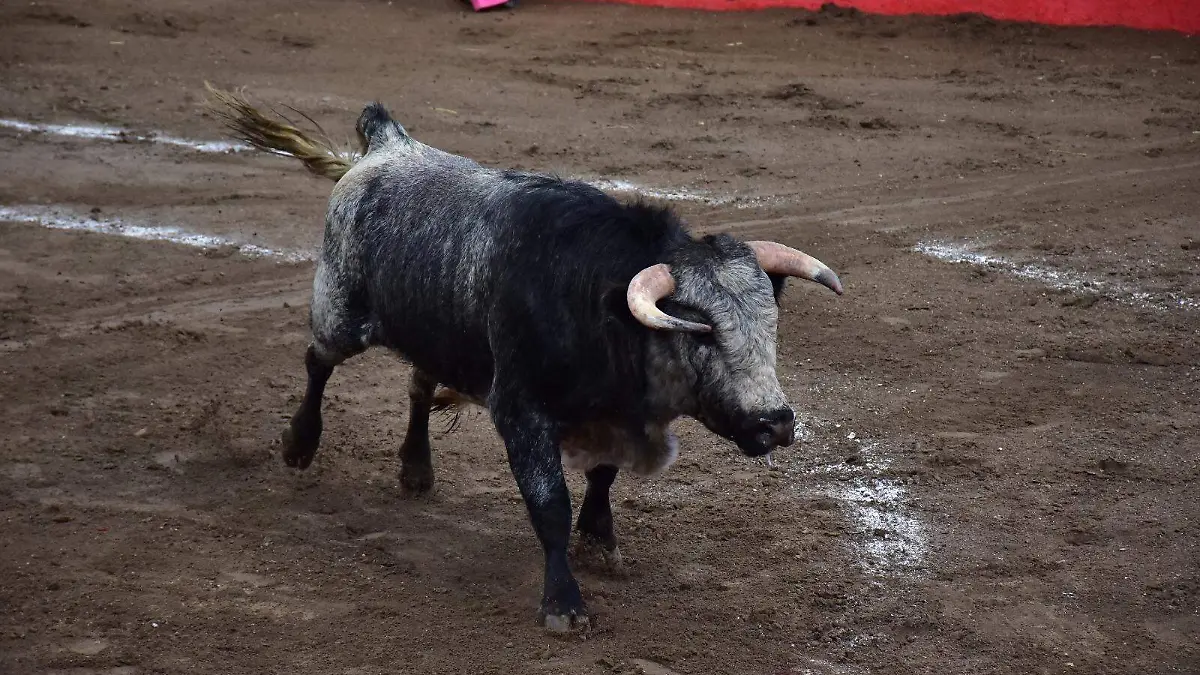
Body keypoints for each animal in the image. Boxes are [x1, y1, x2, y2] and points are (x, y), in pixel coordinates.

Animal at [206, 84, 844, 629]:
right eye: (701, 333)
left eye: (770, 323)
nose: (775, 423)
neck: (593, 301)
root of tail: (388, 145)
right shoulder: (521, 412)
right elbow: (550, 505)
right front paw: (564, 604)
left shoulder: (612, 414)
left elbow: (603, 476)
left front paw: (601, 543)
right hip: (341, 313)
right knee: (318, 361)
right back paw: (300, 444)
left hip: (436, 334)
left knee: (417, 387)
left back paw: (416, 469)